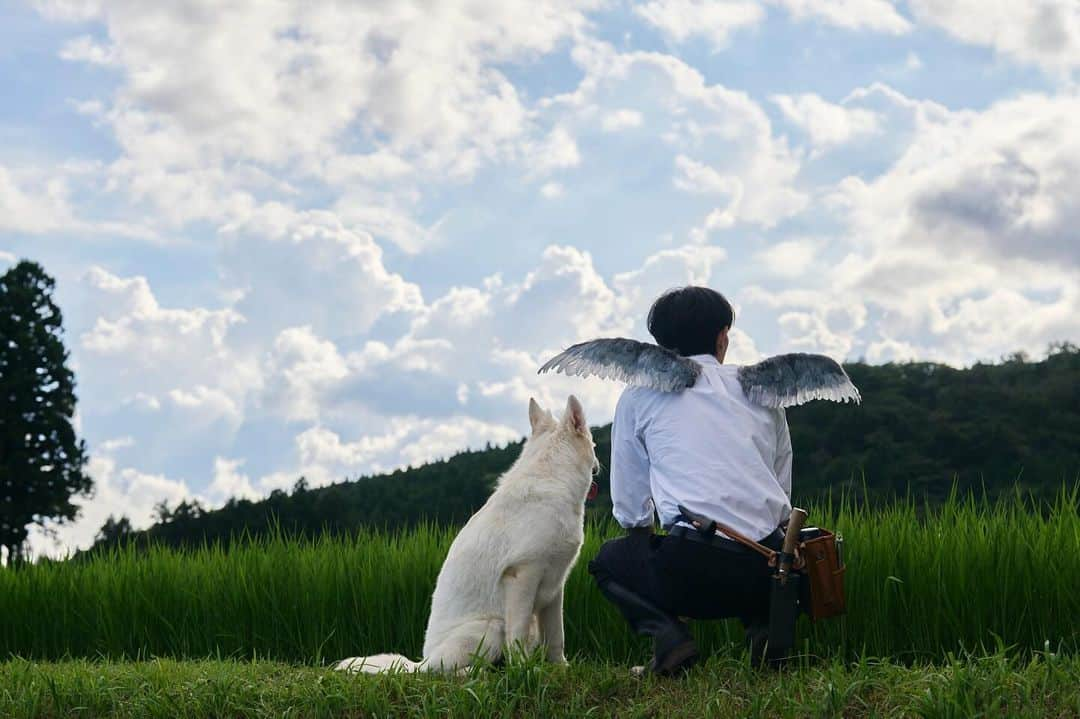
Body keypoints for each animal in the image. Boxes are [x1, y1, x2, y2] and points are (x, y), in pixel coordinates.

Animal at [334, 392, 596, 673]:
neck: (552, 478)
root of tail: (420, 662)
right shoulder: (522, 577)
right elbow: (518, 635)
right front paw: (524, 669)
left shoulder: (555, 588)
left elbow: (557, 636)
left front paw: (561, 668)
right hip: (491, 627)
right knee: (443, 671)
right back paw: (473, 672)